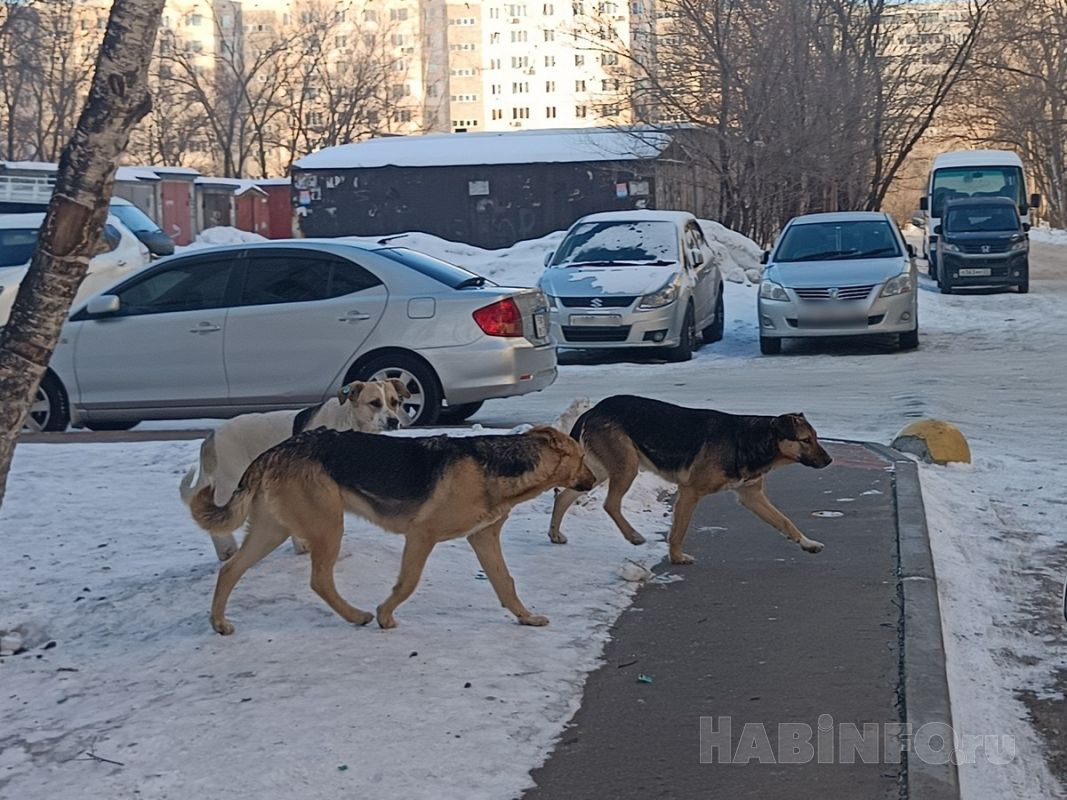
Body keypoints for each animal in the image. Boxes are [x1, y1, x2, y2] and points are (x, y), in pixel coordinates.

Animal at [180, 379, 407, 558]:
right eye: (375, 403)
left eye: (394, 402)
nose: (394, 421)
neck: (350, 421)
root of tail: (210, 438)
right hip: (229, 483)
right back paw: (227, 550)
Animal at [187, 426, 597, 640]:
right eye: (581, 457)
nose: (593, 481)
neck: (500, 466)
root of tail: (274, 451)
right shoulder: (421, 536)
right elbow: (407, 583)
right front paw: (385, 614)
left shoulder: (483, 538)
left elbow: (506, 584)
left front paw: (526, 618)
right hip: (327, 526)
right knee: (319, 580)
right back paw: (358, 616)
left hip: (272, 531)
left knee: (231, 569)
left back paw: (218, 622)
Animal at [550, 398, 832, 567]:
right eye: (806, 440)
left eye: (816, 437)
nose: (829, 460)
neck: (751, 440)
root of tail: (593, 409)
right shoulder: (690, 492)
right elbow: (679, 530)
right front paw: (676, 558)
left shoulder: (751, 496)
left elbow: (785, 521)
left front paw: (807, 543)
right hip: (626, 467)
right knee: (610, 504)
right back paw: (634, 536)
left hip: (600, 471)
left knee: (562, 497)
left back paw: (554, 534)